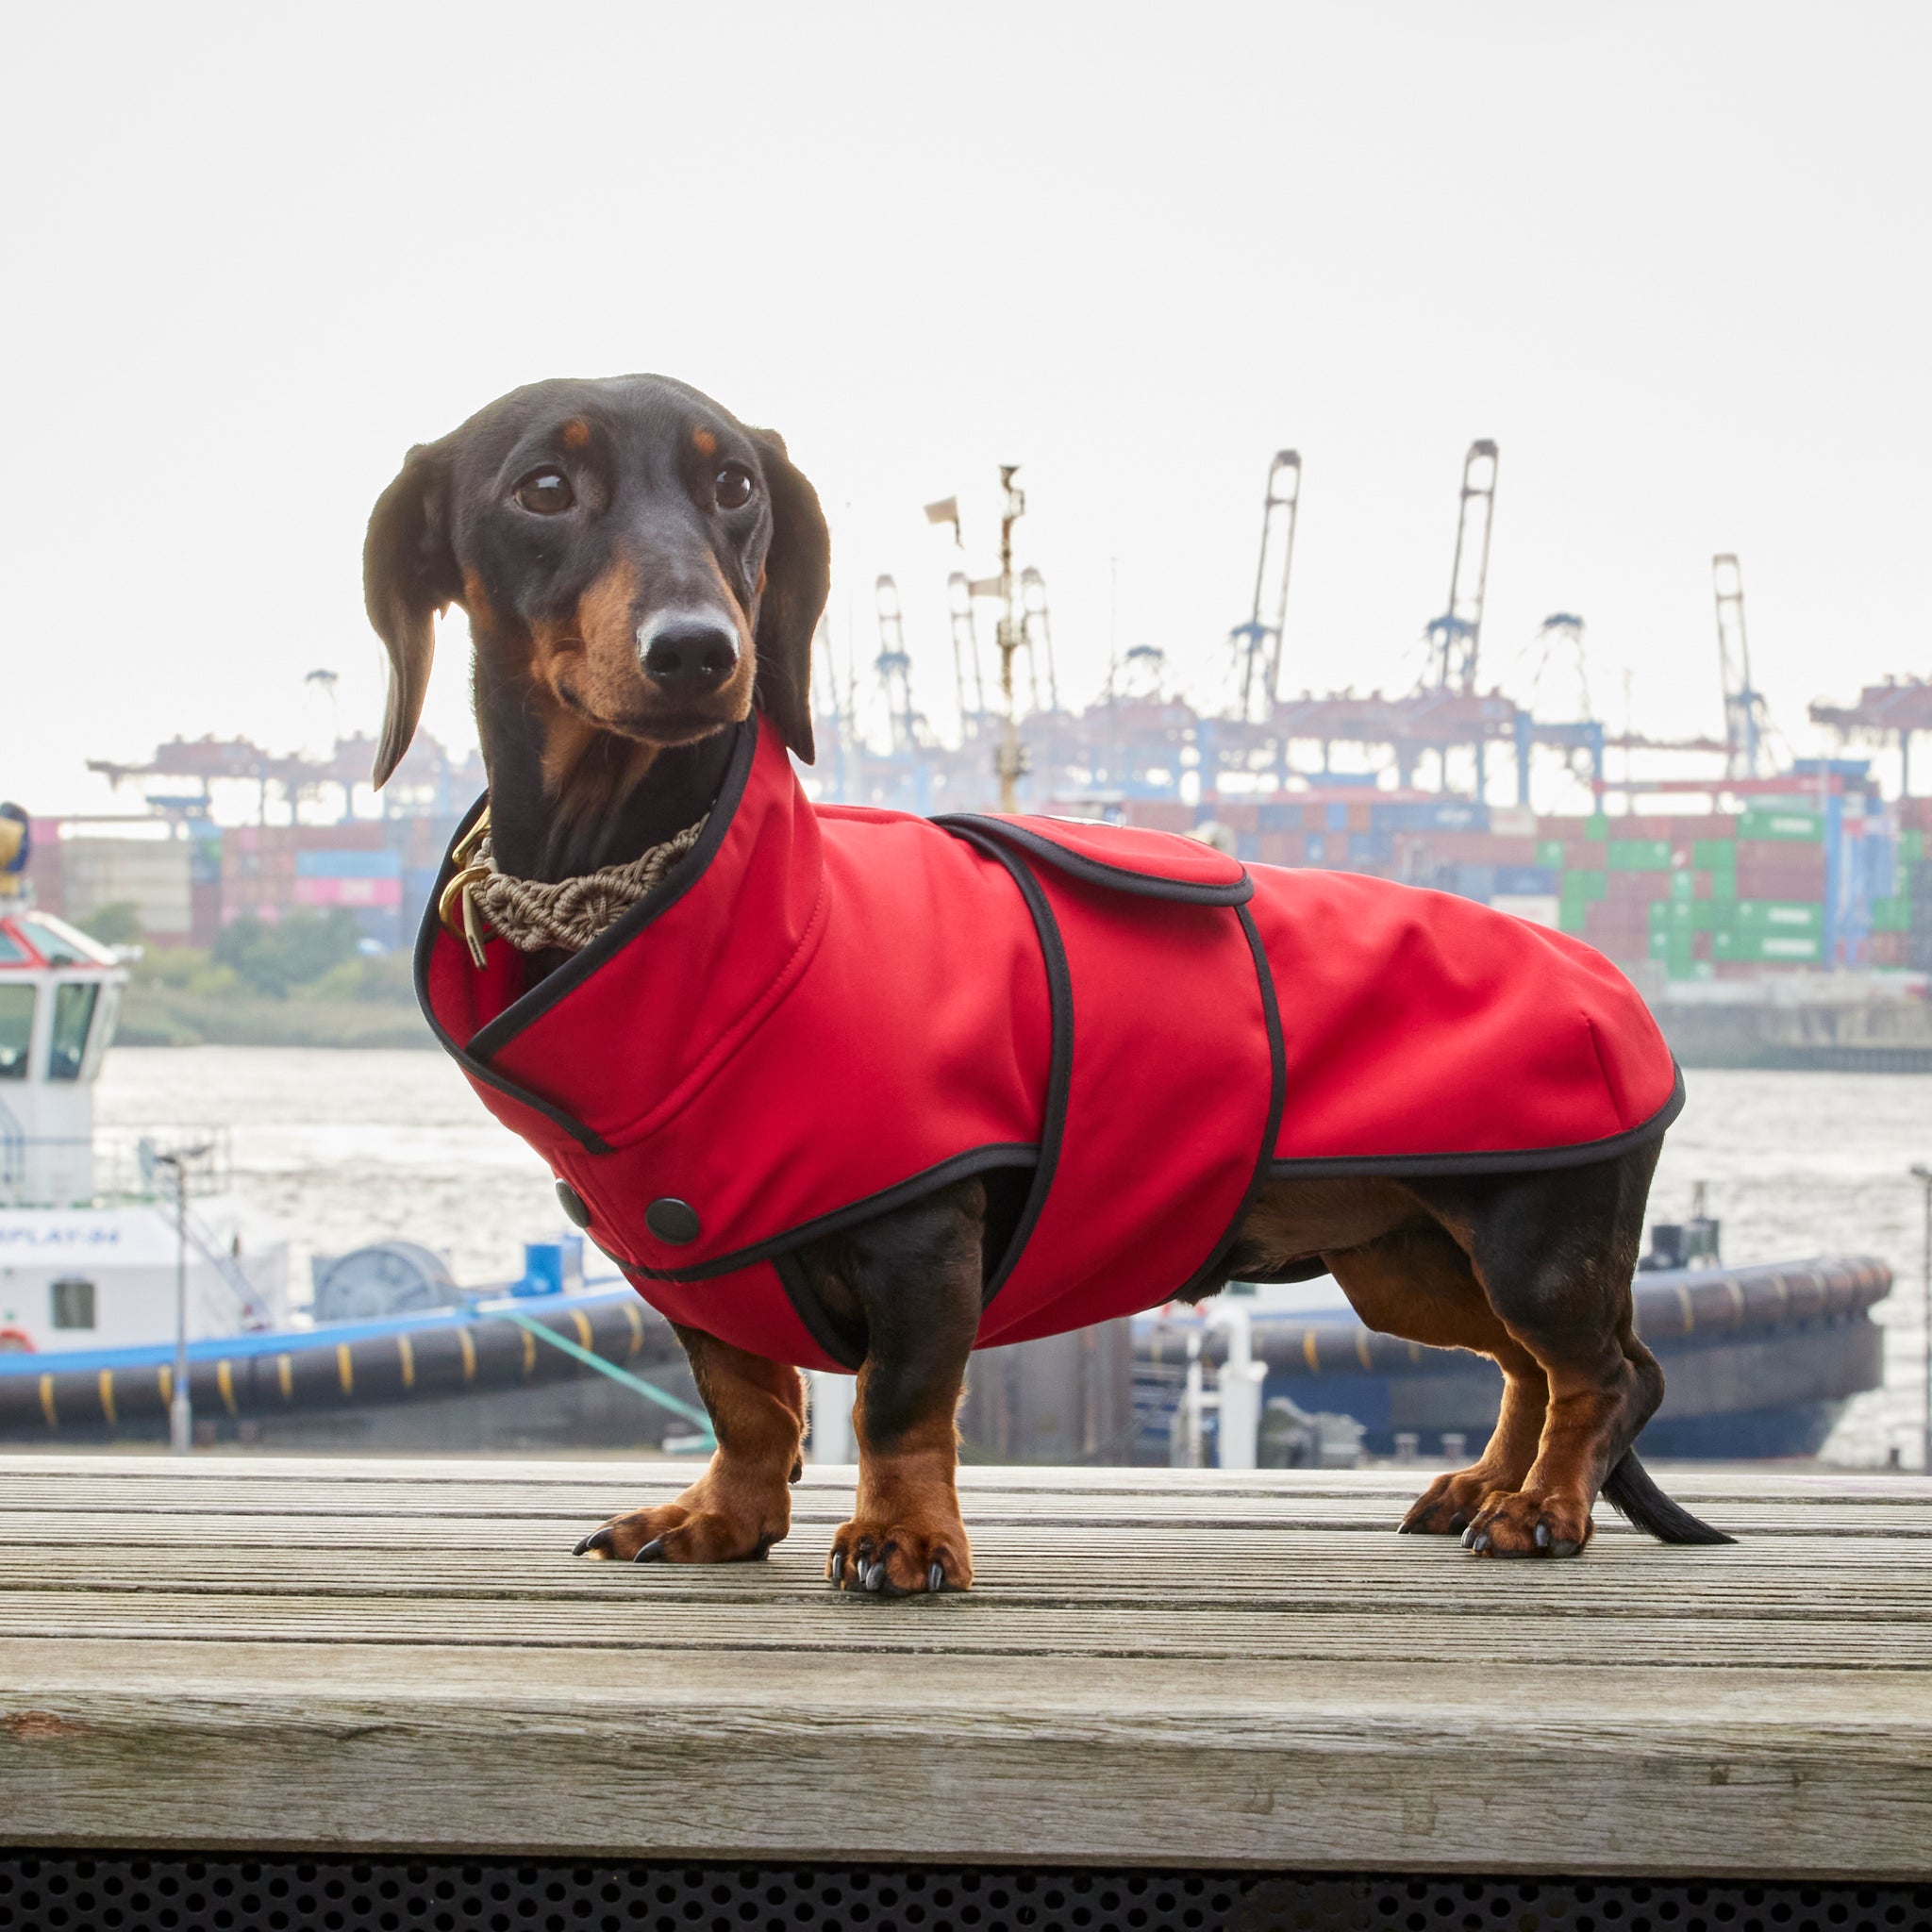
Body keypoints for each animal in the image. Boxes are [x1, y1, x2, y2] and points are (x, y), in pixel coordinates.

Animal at [365, 373, 1739, 1584]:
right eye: (544, 488)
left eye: (735, 486)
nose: (700, 652)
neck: (683, 905)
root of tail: (1611, 981)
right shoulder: (694, 1260)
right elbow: (745, 1400)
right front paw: (721, 1519)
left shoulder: (924, 1233)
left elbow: (896, 1404)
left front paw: (904, 1540)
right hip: (1406, 1261)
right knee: (1524, 1369)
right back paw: (1488, 1482)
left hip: (1534, 1243)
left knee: (1605, 1372)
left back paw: (1543, 1509)